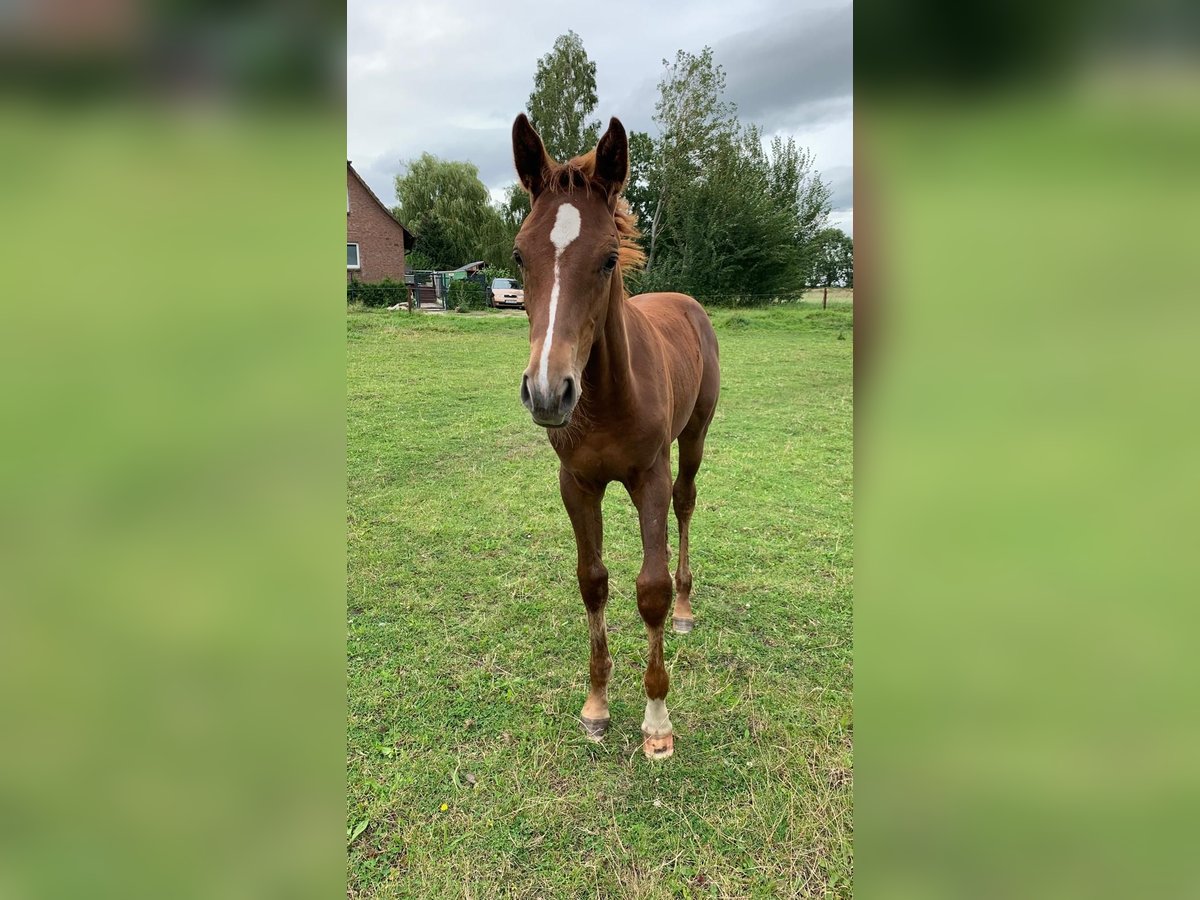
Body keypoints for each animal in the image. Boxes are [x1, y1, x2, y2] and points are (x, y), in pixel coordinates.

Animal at [508, 114, 720, 763]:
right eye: (518, 255)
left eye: (607, 259)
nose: (547, 391)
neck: (603, 403)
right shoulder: (577, 483)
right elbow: (593, 582)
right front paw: (597, 705)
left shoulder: (647, 475)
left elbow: (648, 589)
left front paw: (656, 722)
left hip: (694, 435)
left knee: (685, 503)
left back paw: (685, 609)